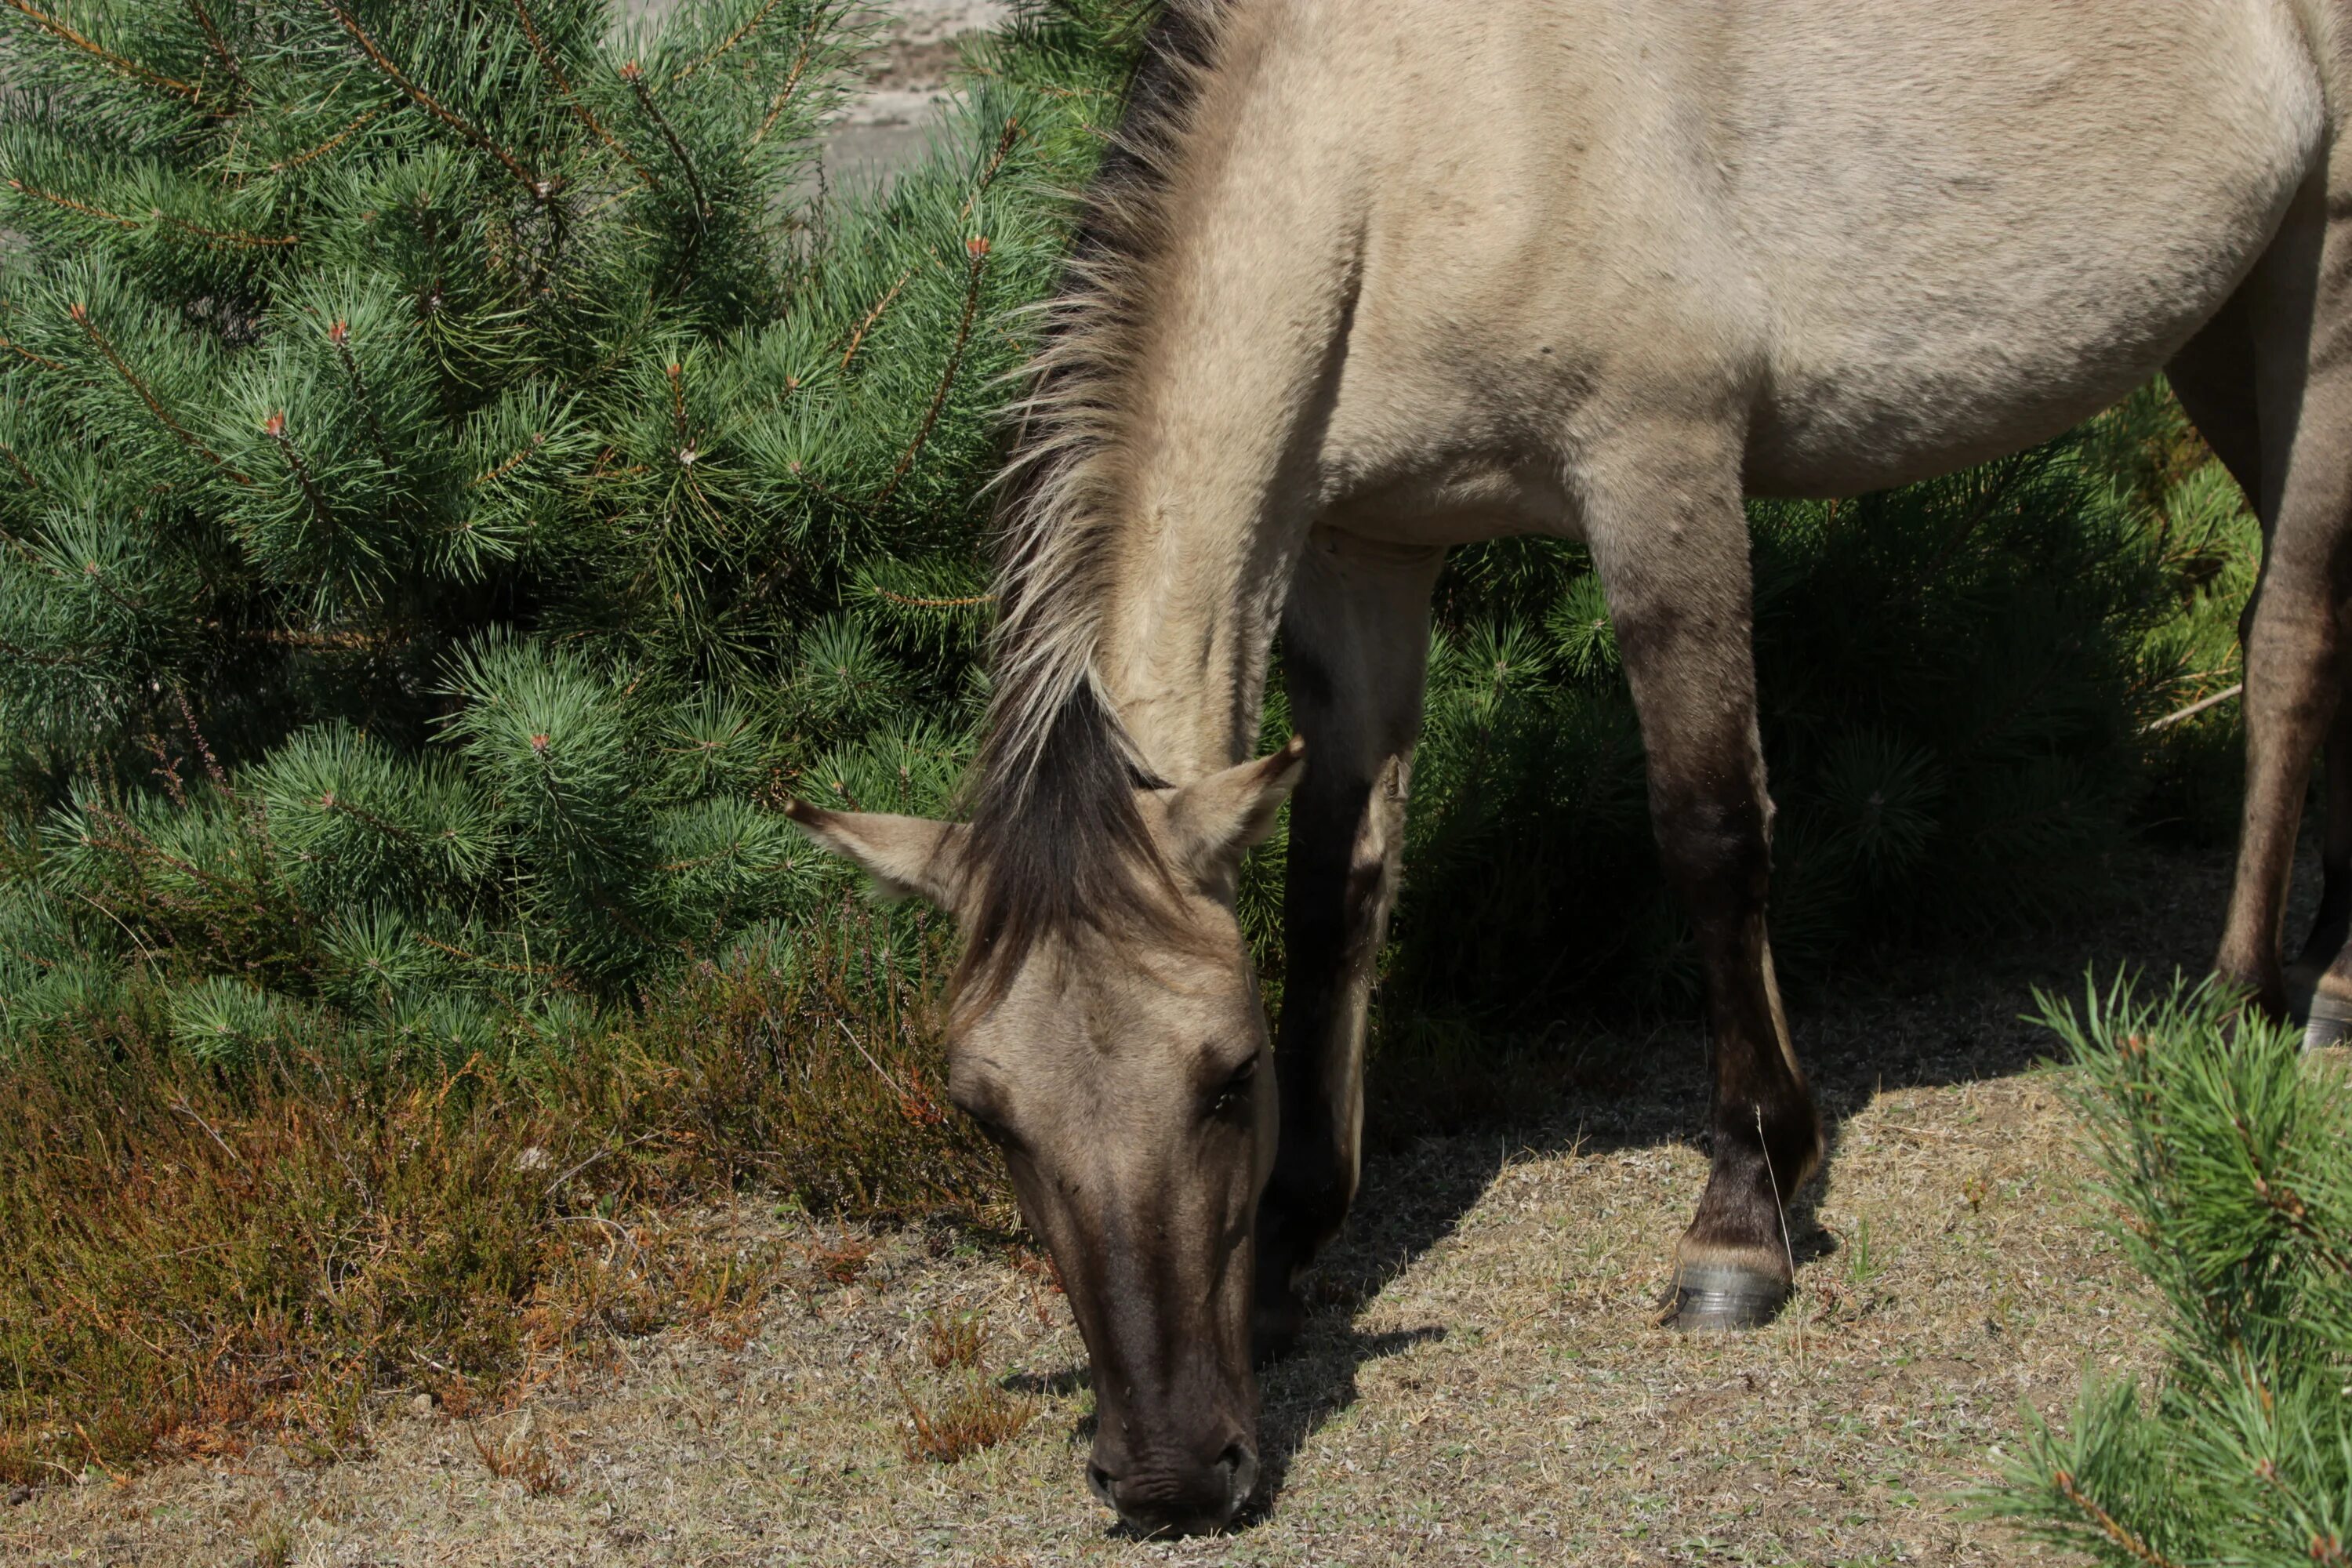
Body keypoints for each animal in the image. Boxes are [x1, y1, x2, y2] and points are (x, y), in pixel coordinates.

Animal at [795, 0, 2352, 1542]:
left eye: (1226, 1078)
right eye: (984, 1111)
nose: (1172, 1477)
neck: (1413, 128)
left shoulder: (1658, 467)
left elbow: (1710, 833)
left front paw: (1744, 1215)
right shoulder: (1365, 558)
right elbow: (1336, 894)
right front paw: (1295, 1242)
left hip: (2320, 304)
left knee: (2292, 648)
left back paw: (2250, 1009)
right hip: (2225, 328)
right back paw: (2321, 980)